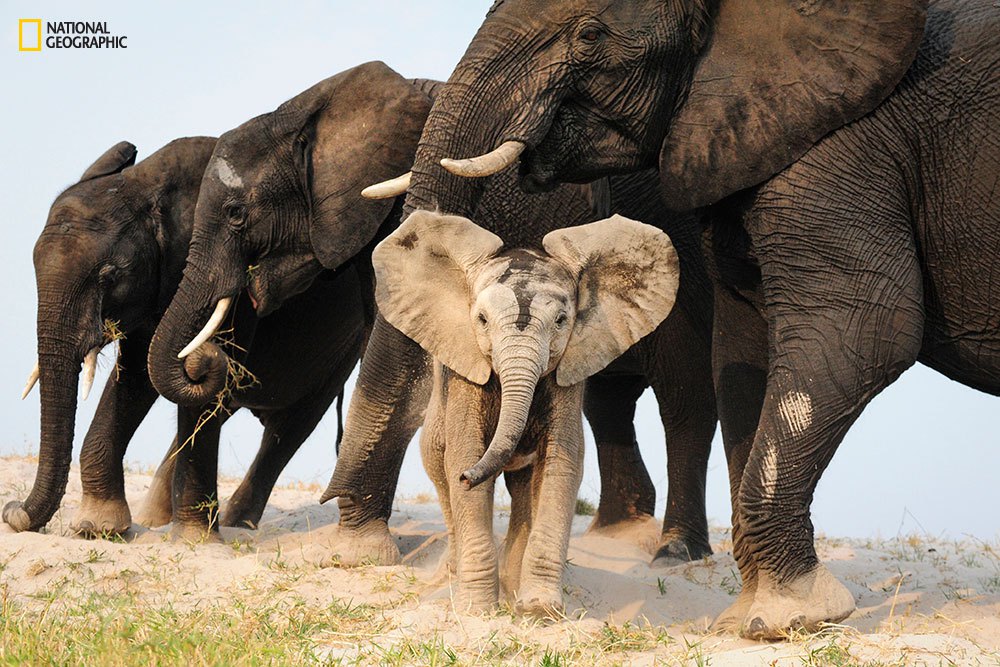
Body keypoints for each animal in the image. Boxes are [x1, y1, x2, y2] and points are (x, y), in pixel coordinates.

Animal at [141, 61, 720, 564]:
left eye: (237, 214)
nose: (205, 362)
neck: (310, 111)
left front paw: (359, 548)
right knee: (608, 400)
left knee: (681, 390)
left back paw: (675, 552)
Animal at [376, 210, 680, 616]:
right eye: (482, 320)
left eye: (561, 320)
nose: (468, 479)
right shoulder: (466, 375)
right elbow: (465, 452)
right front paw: (477, 612)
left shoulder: (568, 372)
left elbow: (561, 464)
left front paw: (539, 611)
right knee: (441, 473)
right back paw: (454, 578)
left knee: (522, 490)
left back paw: (512, 586)